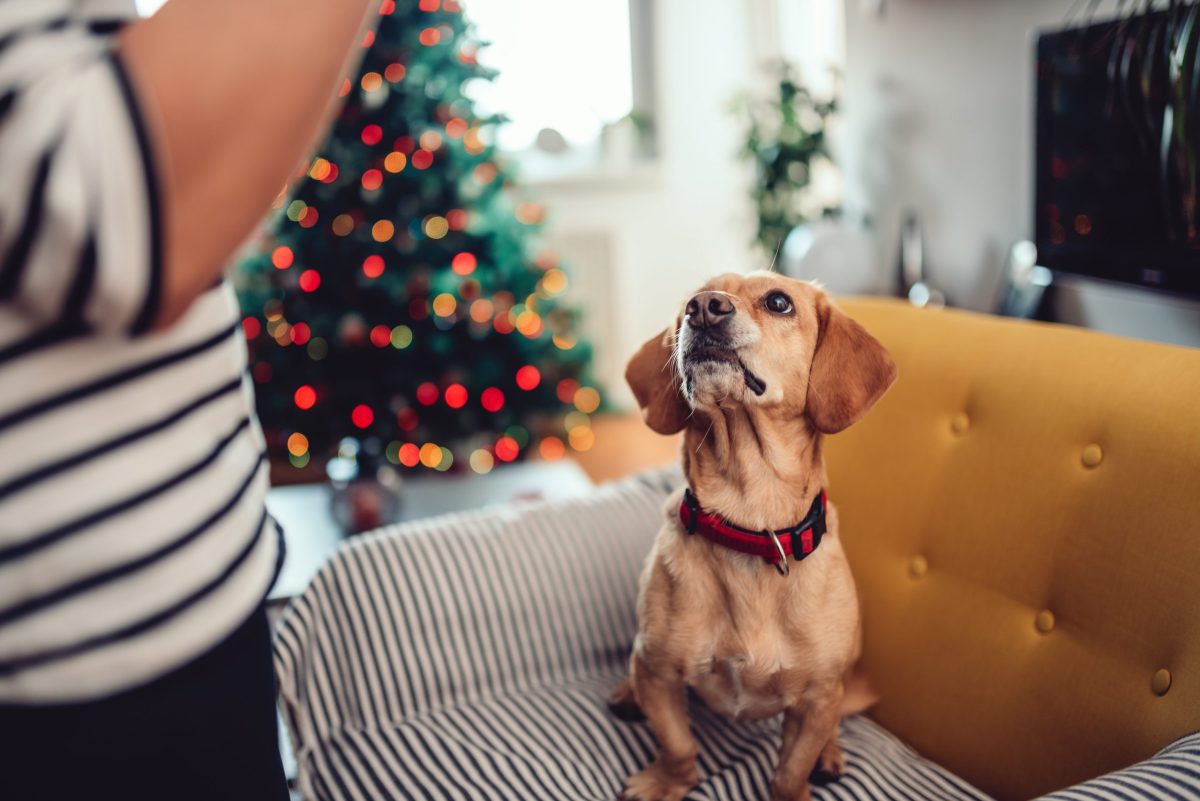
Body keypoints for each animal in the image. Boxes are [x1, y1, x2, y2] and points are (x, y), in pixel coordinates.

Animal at [614, 272, 897, 796]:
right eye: (691, 298)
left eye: (779, 302)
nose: (704, 307)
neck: (749, 523)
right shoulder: (659, 673)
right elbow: (679, 746)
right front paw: (666, 782)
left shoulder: (818, 699)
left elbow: (790, 772)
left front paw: (799, 782)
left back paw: (830, 755)